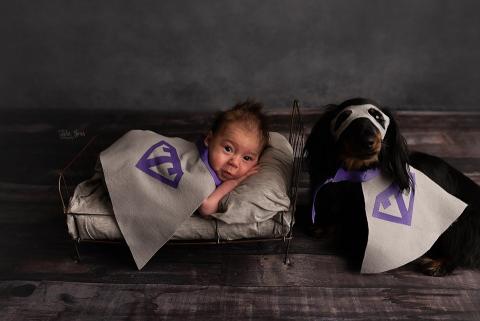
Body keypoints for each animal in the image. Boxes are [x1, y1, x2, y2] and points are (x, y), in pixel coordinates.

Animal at [306, 97, 478, 276]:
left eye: (378, 117)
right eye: (343, 117)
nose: (367, 142)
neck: (359, 172)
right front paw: (323, 223)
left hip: (462, 221)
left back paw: (438, 264)